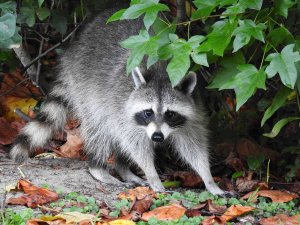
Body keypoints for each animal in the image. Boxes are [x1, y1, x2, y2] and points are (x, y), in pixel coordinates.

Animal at [9, 5, 224, 195]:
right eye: (148, 112)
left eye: (170, 114)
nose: (157, 137)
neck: (163, 74)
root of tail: (72, 50)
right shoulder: (121, 102)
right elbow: (135, 143)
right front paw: (152, 174)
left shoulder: (193, 110)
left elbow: (193, 144)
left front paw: (208, 178)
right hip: (85, 85)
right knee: (100, 128)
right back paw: (98, 167)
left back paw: (123, 168)